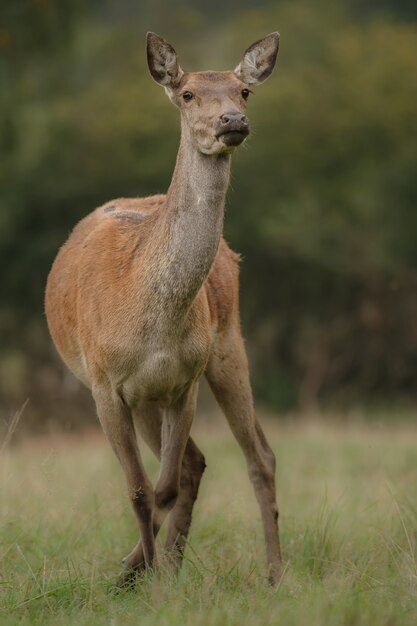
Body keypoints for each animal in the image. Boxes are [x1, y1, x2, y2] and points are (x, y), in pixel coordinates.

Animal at [44, 30, 280, 584]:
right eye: (188, 93)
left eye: (244, 91)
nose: (232, 121)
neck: (150, 318)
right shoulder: (106, 384)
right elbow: (138, 490)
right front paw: (152, 573)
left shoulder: (183, 381)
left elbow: (163, 488)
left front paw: (157, 581)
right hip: (146, 394)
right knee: (196, 464)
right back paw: (147, 566)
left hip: (227, 345)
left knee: (256, 456)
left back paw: (273, 573)